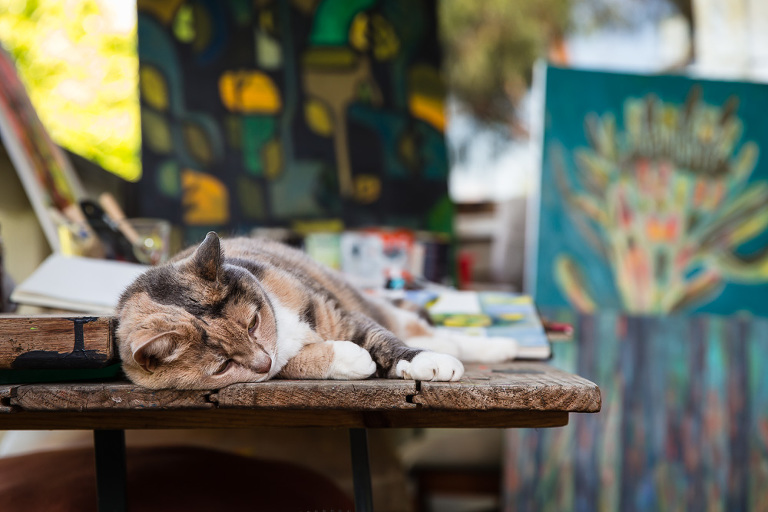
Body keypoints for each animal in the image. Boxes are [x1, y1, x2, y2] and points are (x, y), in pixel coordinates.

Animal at [115, 232, 516, 388]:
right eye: (223, 365)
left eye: (253, 323)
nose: (262, 362)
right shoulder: (279, 363)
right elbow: (294, 363)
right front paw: (352, 359)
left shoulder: (336, 312)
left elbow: (383, 340)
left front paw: (425, 361)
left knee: (436, 334)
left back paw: (490, 347)